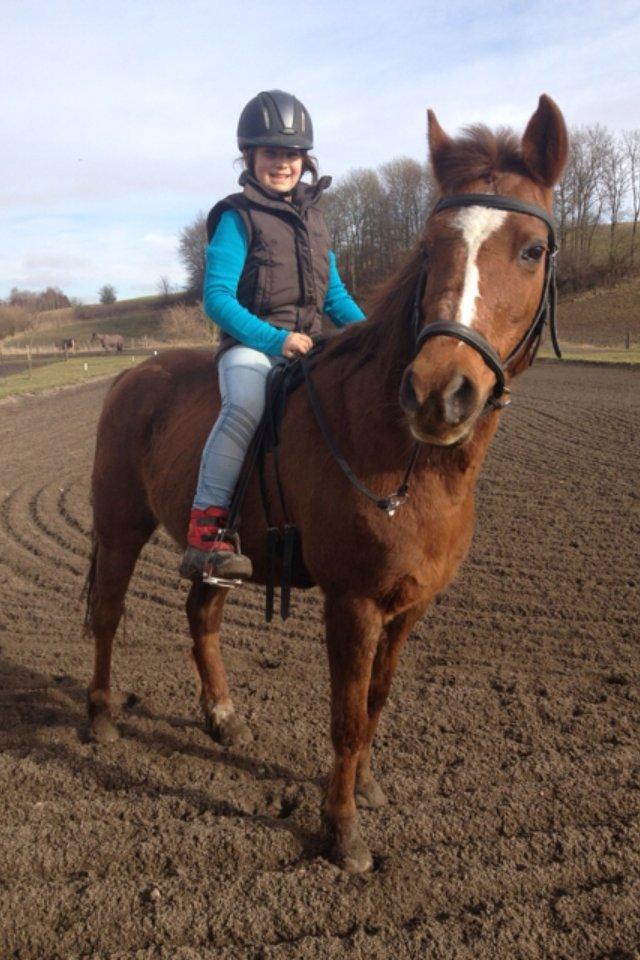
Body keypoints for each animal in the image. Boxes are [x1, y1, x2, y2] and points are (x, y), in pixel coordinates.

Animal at [84, 95, 568, 873]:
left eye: (530, 249)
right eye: (431, 246)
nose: (438, 393)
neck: (405, 458)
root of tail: (135, 372)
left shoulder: (409, 606)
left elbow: (376, 701)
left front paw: (366, 787)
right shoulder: (353, 603)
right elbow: (343, 714)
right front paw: (341, 830)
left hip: (221, 554)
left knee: (201, 613)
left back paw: (221, 716)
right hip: (120, 524)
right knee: (107, 613)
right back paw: (100, 715)